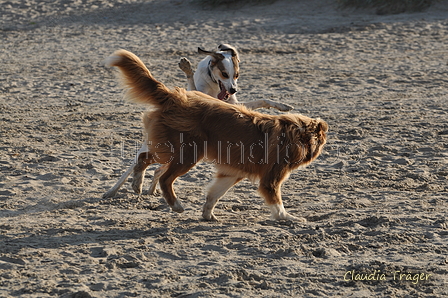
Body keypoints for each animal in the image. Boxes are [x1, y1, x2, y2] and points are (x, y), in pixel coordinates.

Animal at [106, 49, 328, 221]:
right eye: (321, 138)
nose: (326, 128)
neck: (293, 133)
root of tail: (175, 97)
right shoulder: (271, 177)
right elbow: (276, 202)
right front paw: (289, 218)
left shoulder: (232, 173)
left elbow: (214, 194)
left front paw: (207, 215)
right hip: (188, 154)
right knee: (164, 178)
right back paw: (174, 204)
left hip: (168, 149)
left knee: (143, 160)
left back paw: (137, 183)